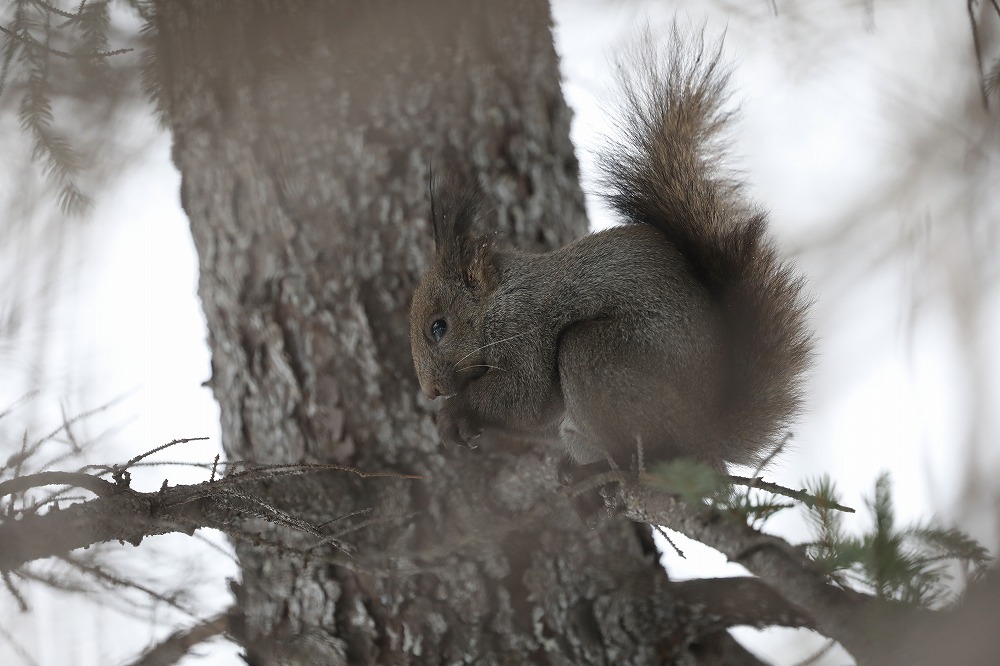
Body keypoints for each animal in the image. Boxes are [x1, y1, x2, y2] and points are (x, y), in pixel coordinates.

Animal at [410, 27, 808, 472]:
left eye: (438, 327)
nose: (430, 391)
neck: (499, 300)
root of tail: (708, 436)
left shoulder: (525, 330)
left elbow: (525, 395)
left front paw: (455, 412)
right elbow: (536, 417)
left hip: (594, 357)